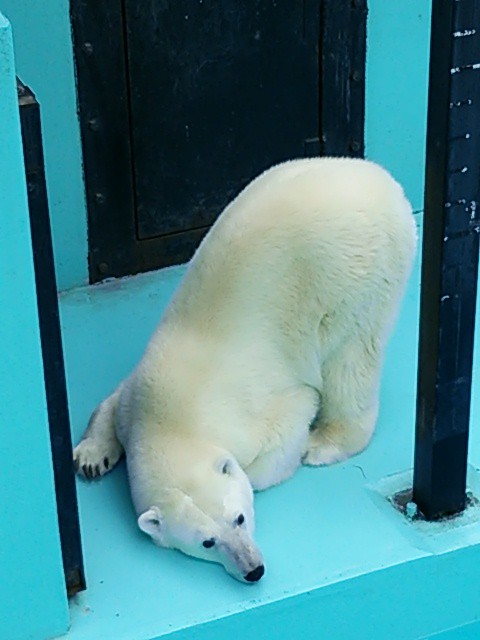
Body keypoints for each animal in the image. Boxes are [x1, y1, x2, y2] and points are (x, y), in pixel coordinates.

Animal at [74, 158, 416, 584]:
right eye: (207, 542)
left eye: (239, 518)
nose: (253, 569)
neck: (172, 420)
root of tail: (386, 184)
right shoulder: (137, 396)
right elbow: (111, 402)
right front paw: (91, 459)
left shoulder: (258, 409)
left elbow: (288, 427)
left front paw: (290, 454)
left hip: (355, 272)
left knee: (351, 359)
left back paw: (326, 442)